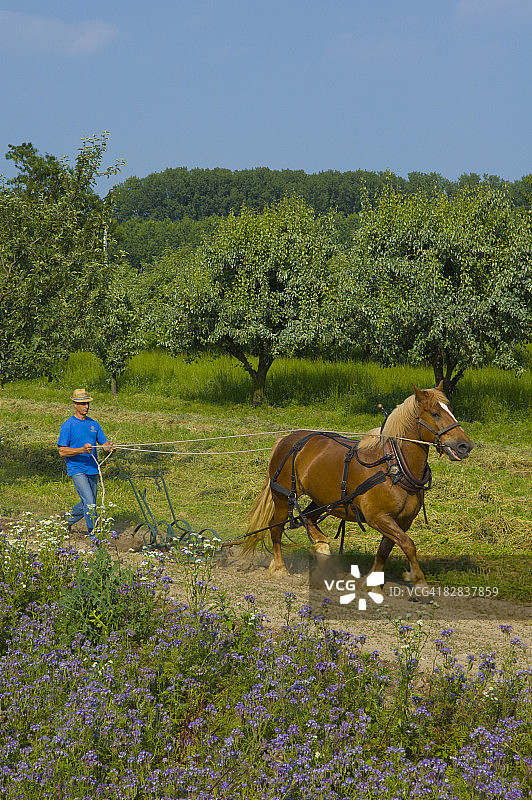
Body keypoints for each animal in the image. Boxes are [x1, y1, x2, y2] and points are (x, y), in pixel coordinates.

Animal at [243, 383, 473, 589]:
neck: (394, 467)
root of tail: (285, 439)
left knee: (307, 517)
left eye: (450, 411)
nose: (465, 445)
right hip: (283, 496)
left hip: (323, 499)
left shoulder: (402, 521)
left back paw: (321, 549)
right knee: (276, 528)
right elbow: (408, 545)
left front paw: (372, 582)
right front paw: (419, 582)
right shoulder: (378, 517)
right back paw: (280, 567)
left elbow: (386, 549)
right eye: (435, 413)